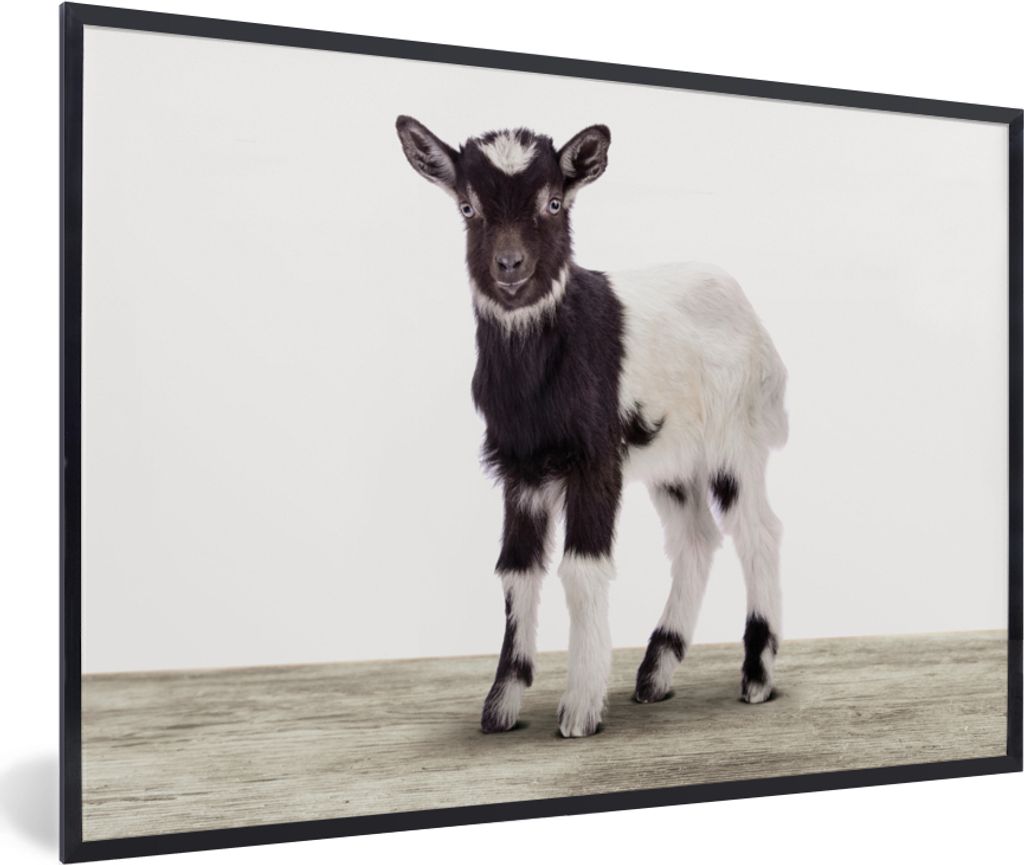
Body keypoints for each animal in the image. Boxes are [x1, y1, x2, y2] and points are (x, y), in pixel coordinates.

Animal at [396, 116, 788, 738]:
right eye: (467, 207)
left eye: (554, 202)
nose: (511, 266)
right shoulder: (520, 468)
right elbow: (516, 571)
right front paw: (500, 706)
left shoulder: (595, 457)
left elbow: (581, 570)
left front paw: (579, 708)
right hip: (673, 457)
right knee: (695, 538)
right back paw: (655, 675)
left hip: (737, 440)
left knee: (758, 531)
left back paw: (755, 678)